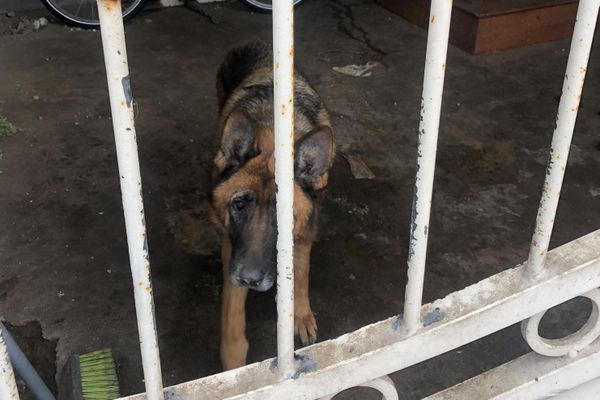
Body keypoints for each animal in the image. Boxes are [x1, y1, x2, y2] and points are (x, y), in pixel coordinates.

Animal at [209, 42, 336, 370]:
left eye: (283, 216)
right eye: (239, 205)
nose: (250, 279)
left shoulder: (305, 231)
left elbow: (301, 271)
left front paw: (299, 314)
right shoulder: (233, 246)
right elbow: (232, 305)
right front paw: (233, 354)